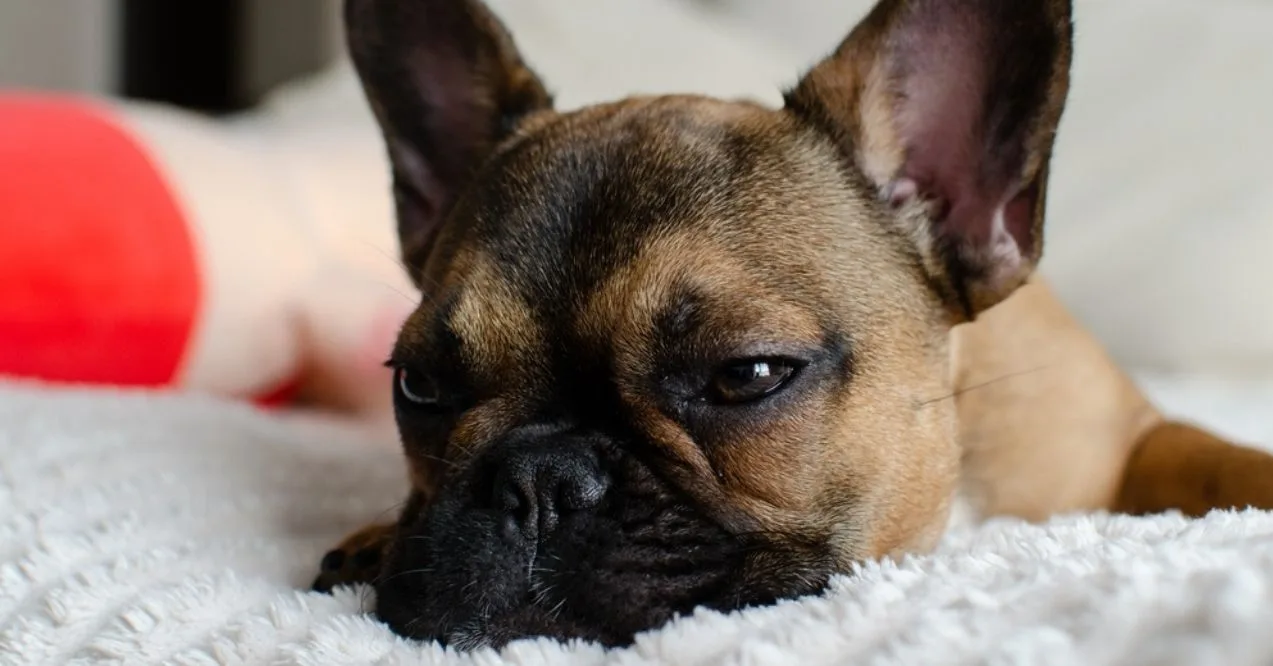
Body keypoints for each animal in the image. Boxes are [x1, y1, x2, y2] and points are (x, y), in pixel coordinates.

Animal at [308, 0, 1273, 651]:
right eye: (420, 385)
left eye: (748, 375)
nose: (537, 482)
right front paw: (371, 540)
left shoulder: (1128, 431)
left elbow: (1206, 454)